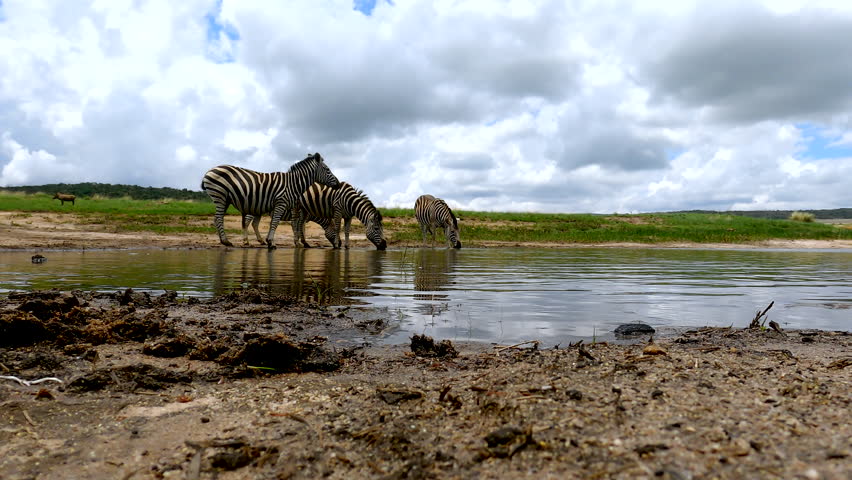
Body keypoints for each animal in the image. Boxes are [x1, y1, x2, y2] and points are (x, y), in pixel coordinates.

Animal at [200, 153, 340, 249]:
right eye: (327, 170)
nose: (338, 184)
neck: (292, 184)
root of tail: (209, 170)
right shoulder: (281, 203)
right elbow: (277, 223)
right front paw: (272, 243)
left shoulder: (289, 208)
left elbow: (288, 225)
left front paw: (272, 241)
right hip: (220, 196)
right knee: (221, 218)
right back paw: (227, 241)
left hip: (229, 200)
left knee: (219, 219)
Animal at [243, 182, 387, 250]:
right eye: (376, 229)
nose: (385, 246)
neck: (350, 201)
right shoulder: (337, 211)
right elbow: (337, 228)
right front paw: (336, 245)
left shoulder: (348, 216)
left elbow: (347, 230)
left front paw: (346, 246)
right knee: (247, 223)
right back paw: (246, 241)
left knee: (254, 223)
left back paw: (261, 240)